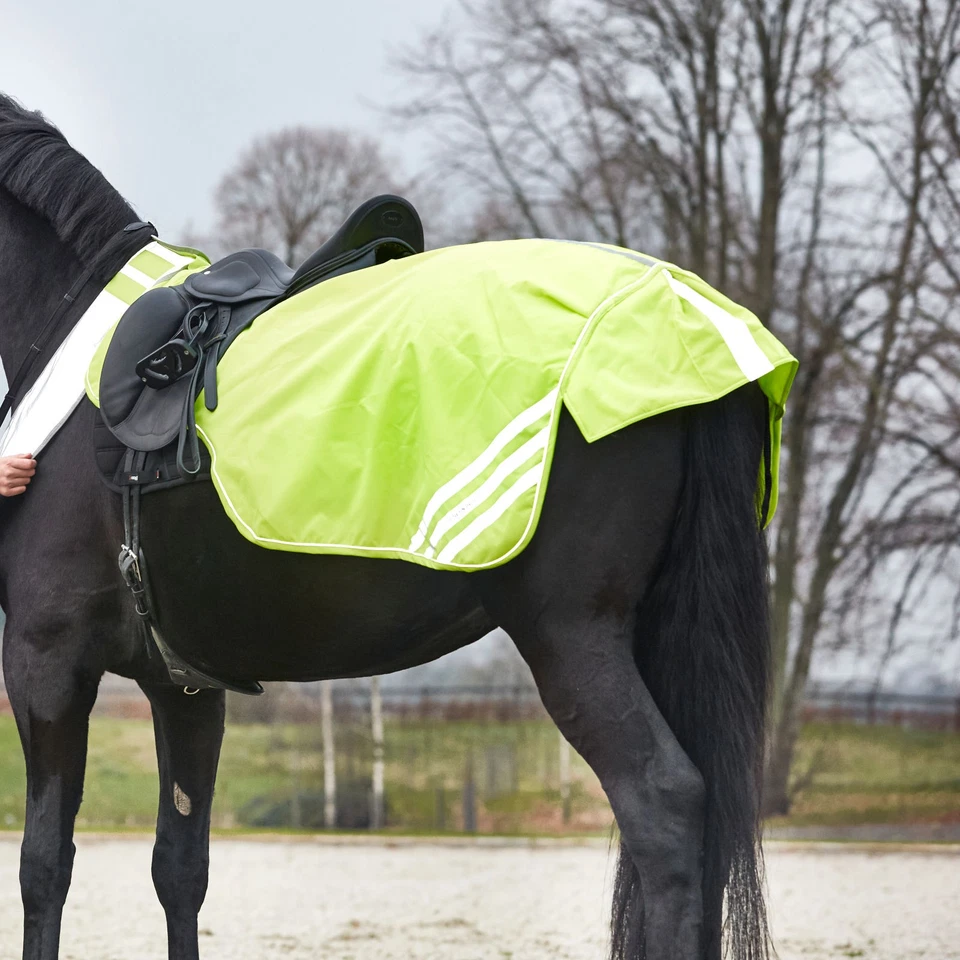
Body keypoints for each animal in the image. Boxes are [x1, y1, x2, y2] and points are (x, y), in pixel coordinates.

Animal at [0, 93, 772, 960]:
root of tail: (681, 307)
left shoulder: (46, 662)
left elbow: (44, 866)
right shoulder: (186, 685)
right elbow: (179, 868)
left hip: (573, 637)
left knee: (663, 810)